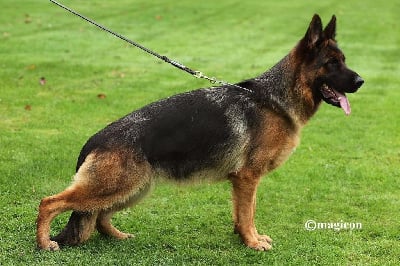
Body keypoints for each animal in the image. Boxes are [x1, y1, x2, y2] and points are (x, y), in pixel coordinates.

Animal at [36, 15, 362, 251]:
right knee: (49, 202)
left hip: (134, 188)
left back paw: (116, 236)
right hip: (114, 186)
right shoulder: (248, 178)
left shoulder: (243, 182)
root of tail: (94, 140)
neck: (274, 100)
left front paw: (245, 238)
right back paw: (44, 243)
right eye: (332, 63)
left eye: (344, 60)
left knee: (101, 215)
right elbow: (249, 213)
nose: (361, 81)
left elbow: (243, 213)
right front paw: (252, 242)